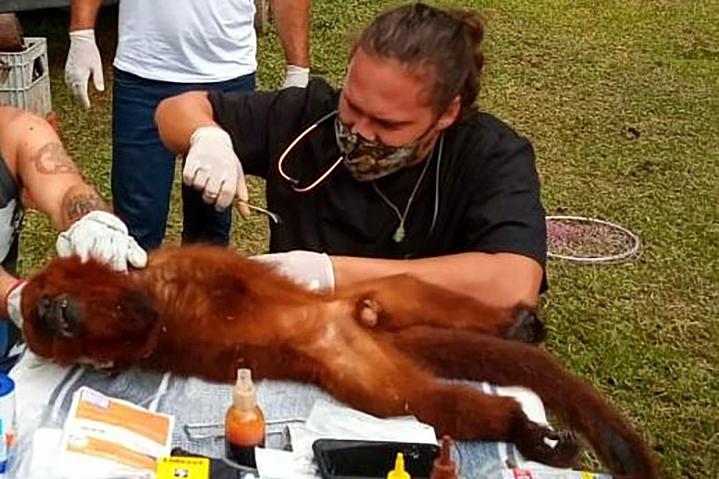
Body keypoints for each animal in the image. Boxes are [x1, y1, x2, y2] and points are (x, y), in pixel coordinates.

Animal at [17, 244, 659, 478]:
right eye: (44, 323)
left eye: (46, 302)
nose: (54, 313)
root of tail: (348, 320)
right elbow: (142, 333)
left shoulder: (168, 265)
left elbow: (156, 304)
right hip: (359, 370)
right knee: (429, 402)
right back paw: (520, 428)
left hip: (383, 298)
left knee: (411, 292)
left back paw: (512, 327)